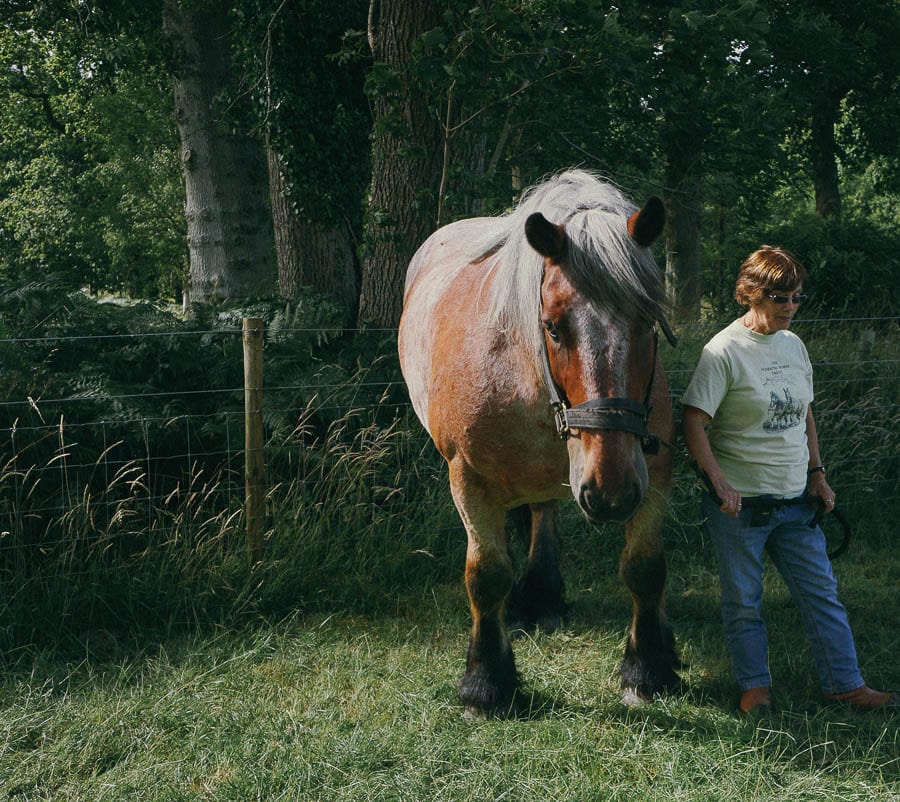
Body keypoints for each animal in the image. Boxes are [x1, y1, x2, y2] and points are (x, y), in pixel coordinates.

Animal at [398, 167, 680, 712]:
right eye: (551, 326)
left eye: (647, 321)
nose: (611, 491)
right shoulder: (469, 480)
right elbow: (486, 574)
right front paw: (486, 681)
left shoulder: (652, 475)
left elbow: (645, 568)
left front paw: (648, 666)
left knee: (543, 510)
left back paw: (542, 595)